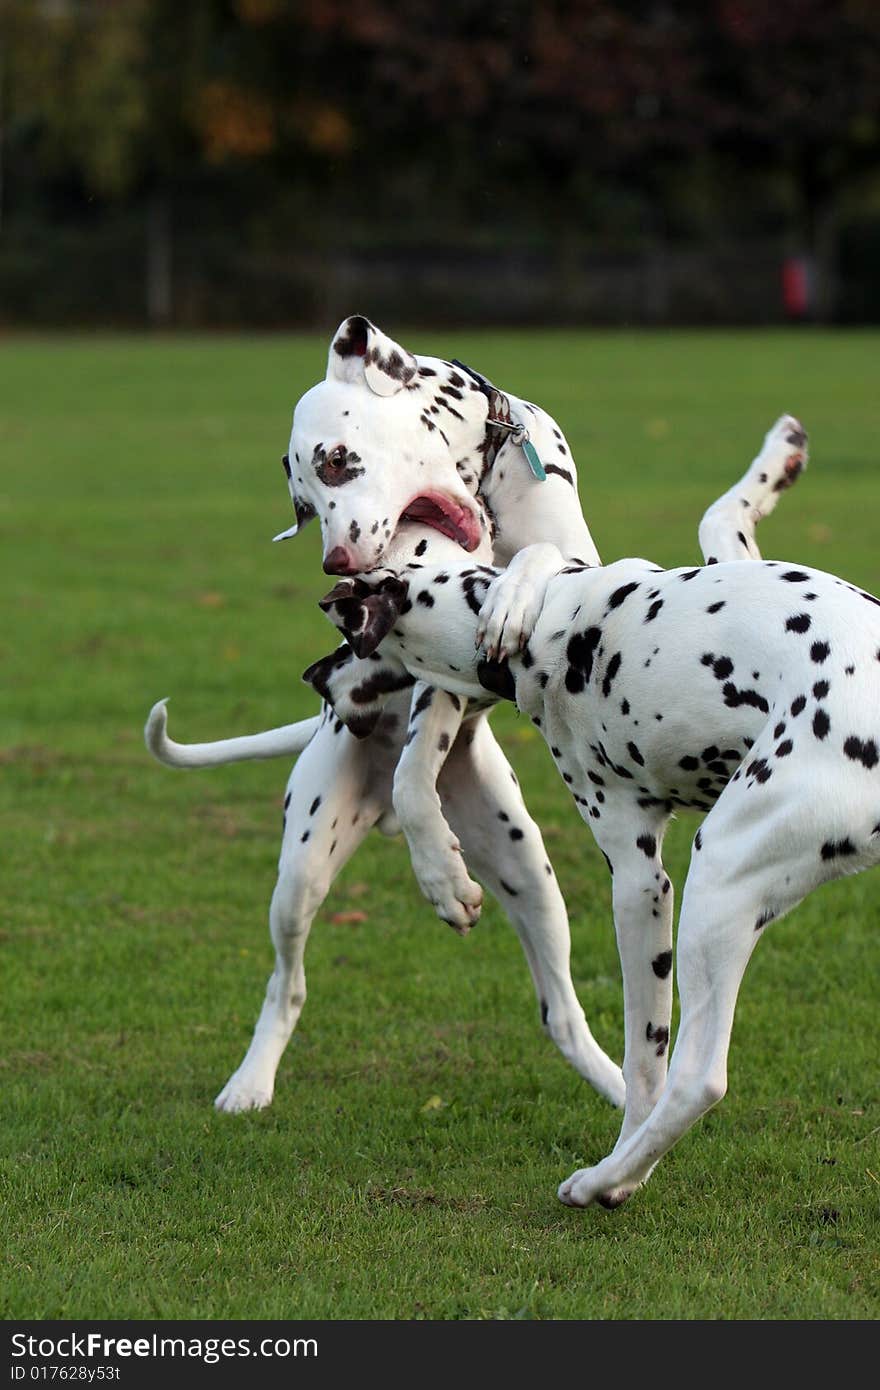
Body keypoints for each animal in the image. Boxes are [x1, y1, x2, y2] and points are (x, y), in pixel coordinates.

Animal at [142, 315, 800, 1117]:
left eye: (337, 462)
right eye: (302, 504)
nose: (337, 563)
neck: (483, 480)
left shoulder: (561, 573)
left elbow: (536, 562)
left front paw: (513, 600)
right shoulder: (432, 671)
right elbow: (411, 783)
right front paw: (441, 879)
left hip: (530, 876)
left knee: (560, 1010)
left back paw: (619, 1089)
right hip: (301, 874)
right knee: (287, 982)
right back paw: (250, 1081)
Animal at [312, 411, 878, 1206]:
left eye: (346, 643)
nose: (313, 676)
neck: (558, 622)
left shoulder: (640, 883)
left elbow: (644, 1063)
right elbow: (720, 517)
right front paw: (780, 458)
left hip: (717, 883)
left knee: (697, 1078)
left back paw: (605, 1181)